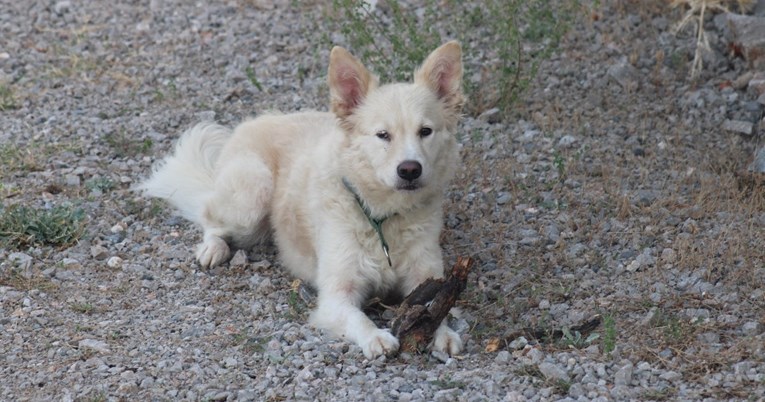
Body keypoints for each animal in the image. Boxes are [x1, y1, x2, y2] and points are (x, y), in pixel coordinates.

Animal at [141, 42, 468, 360]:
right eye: (383, 135)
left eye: (425, 131)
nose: (410, 169)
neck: (383, 217)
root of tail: (257, 120)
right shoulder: (336, 295)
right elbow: (358, 318)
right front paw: (375, 337)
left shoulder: (426, 278)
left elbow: (438, 308)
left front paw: (444, 334)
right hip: (252, 193)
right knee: (209, 215)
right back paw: (213, 248)